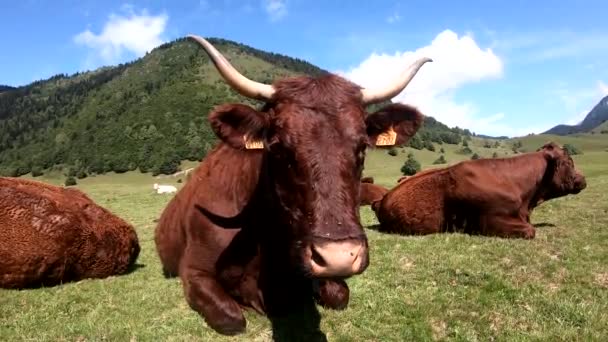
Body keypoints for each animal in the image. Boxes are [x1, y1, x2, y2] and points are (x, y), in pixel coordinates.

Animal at [154, 35, 430, 336]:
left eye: (362, 148)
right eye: (277, 147)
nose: (339, 257)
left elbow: (339, 295)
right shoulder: (194, 271)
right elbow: (232, 318)